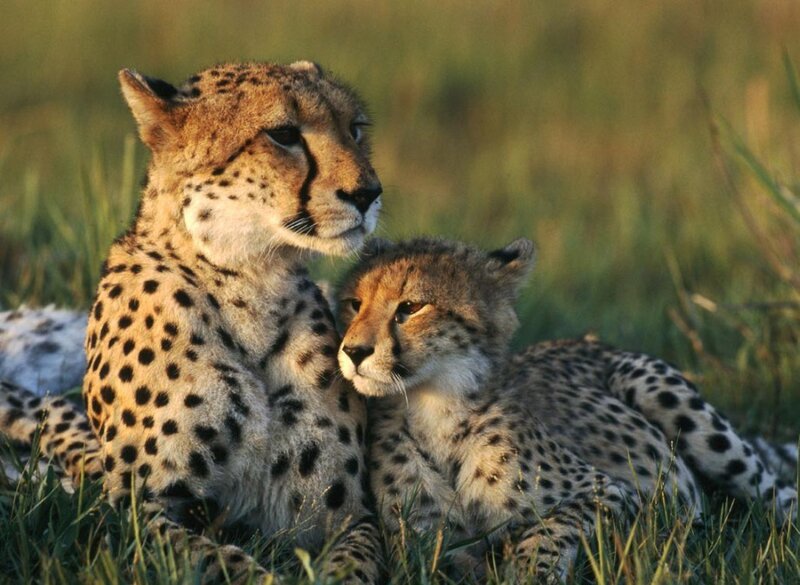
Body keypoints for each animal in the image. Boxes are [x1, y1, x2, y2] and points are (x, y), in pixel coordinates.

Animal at [0, 61, 384, 584]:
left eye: (355, 128)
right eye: (284, 134)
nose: (368, 194)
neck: (252, 283)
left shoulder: (343, 514)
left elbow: (358, 561)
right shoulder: (138, 513)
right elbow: (219, 559)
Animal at [335, 236, 798, 581]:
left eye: (411, 307)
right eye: (354, 304)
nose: (354, 351)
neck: (433, 407)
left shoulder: (627, 499)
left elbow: (550, 527)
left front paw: (526, 571)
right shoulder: (421, 545)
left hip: (665, 396)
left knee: (777, 493)